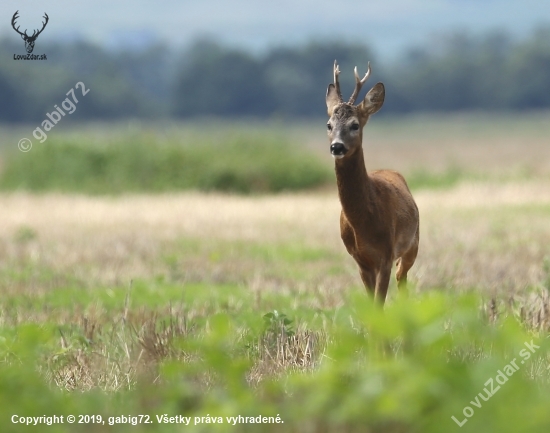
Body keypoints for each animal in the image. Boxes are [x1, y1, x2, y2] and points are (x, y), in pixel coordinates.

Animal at [326, 60, 420, 304]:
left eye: (355, 125)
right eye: (329, 125)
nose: (336, 147)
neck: (363, 222)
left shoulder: (386, 255)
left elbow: (379, 303)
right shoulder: (360, 260)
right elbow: (371, 305)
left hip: (413, 244)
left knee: (402, 277)